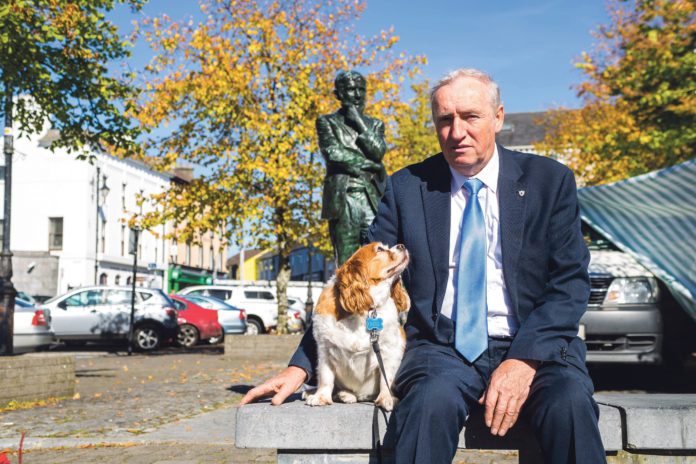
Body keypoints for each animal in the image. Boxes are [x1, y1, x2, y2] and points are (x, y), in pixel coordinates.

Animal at [304, 243, 408, 410]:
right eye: (380, 249)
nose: (402, 245)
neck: (366, 311)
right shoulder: (325, 350)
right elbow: (325, 378)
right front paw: (321, 397)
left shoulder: (390, 350)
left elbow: (386, 379)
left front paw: (386, 398)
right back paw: (342, 394)